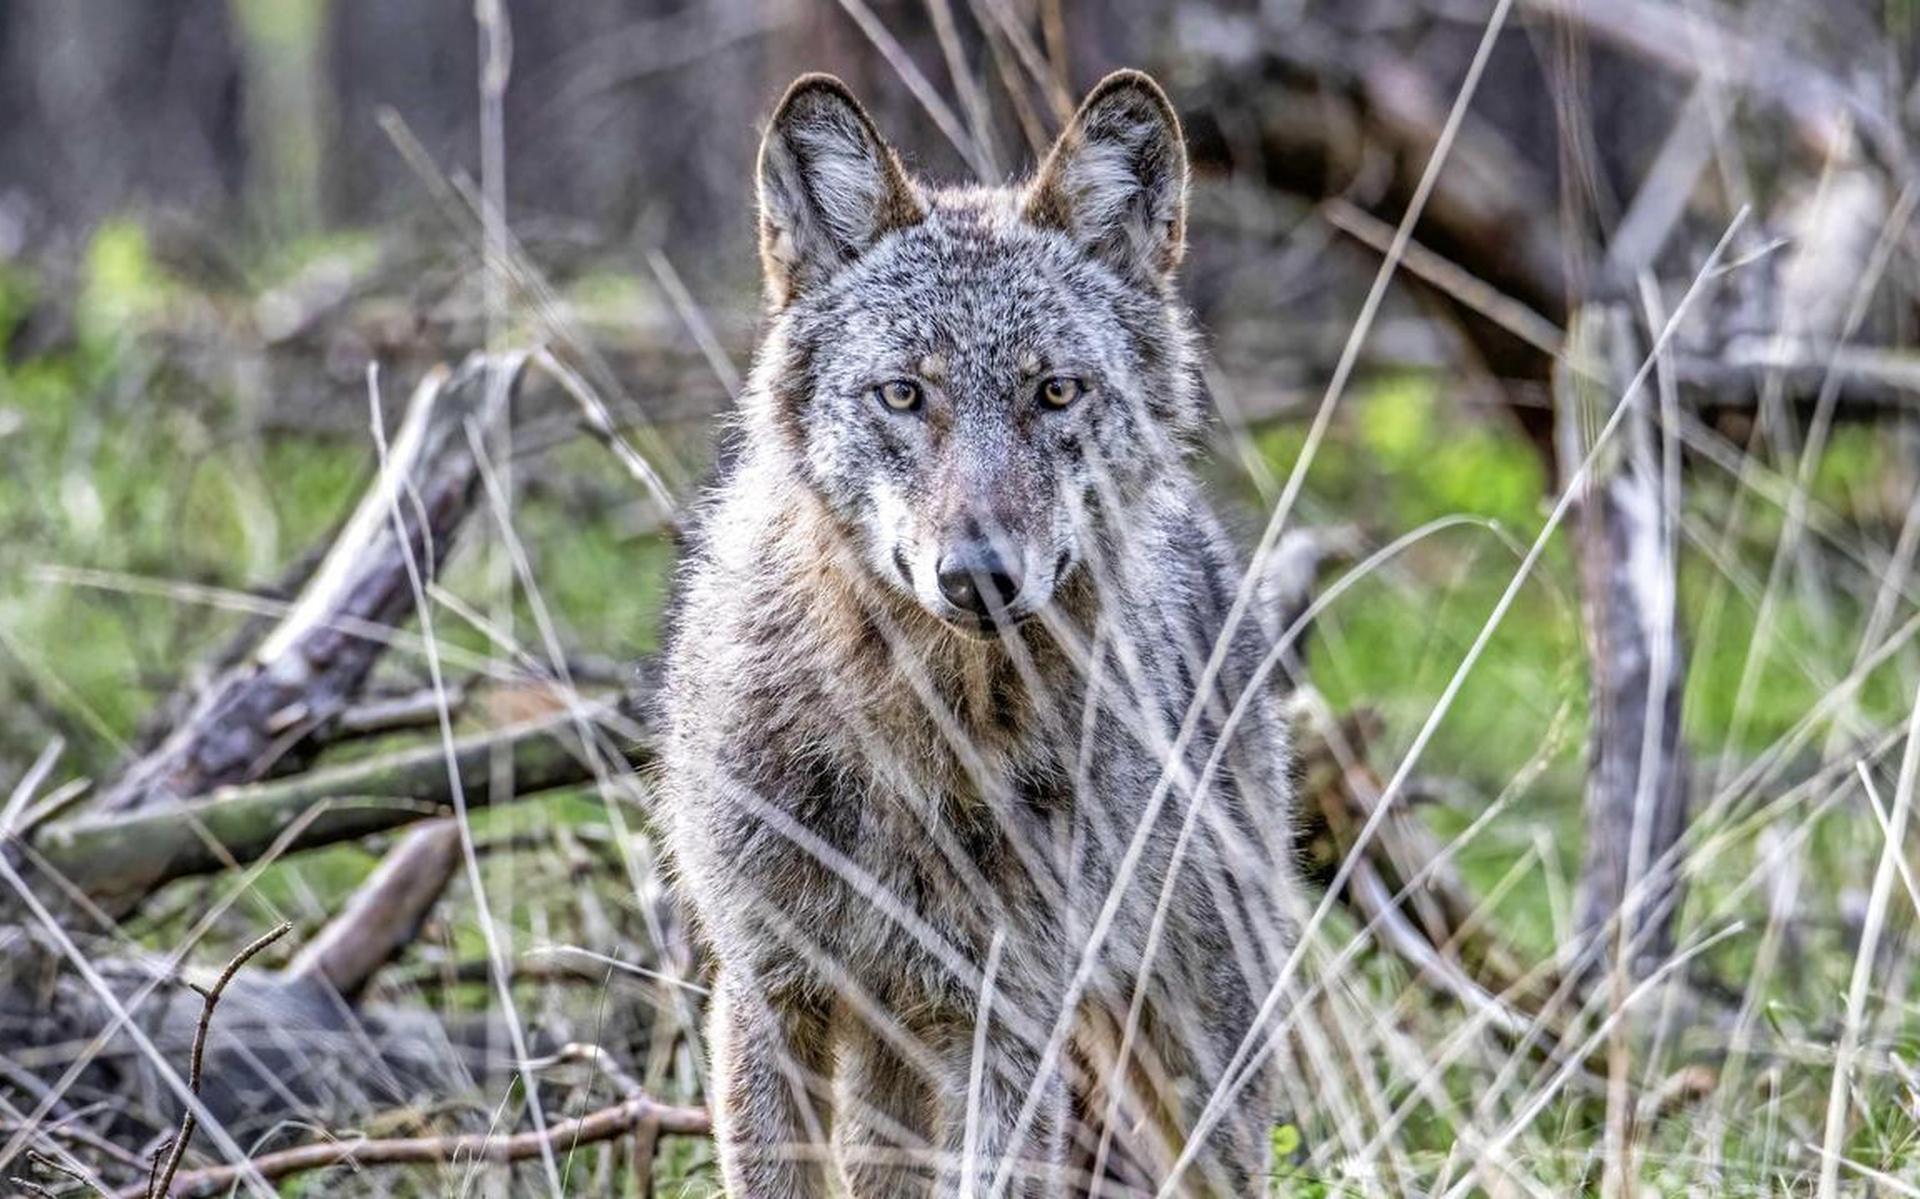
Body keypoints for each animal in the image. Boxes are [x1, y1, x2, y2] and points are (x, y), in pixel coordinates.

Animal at [660, 70, 1305, 1191]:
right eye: (904, 393)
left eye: (1055, 392)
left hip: (1187, 1064)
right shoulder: (769, 989)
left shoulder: (1007, 1020)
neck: (917, 742)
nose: (978, 576)